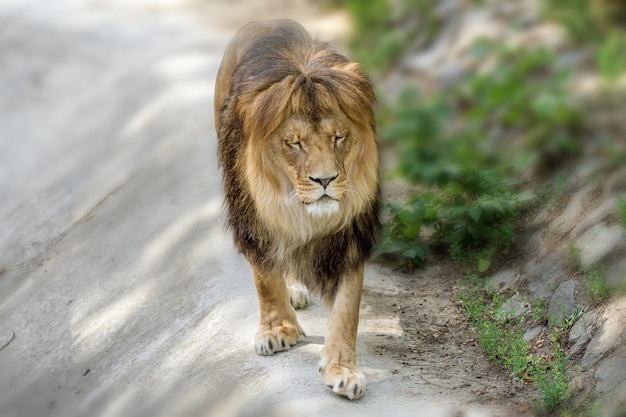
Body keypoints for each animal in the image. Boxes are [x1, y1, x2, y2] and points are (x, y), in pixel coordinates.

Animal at [214, 20, 378, 400]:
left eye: (338, 137)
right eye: (295, 143)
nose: (325, 179)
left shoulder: (350, 238)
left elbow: (347, 308)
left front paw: (343, 369)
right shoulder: (255, 221)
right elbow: (265, 279)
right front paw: (278, 329)